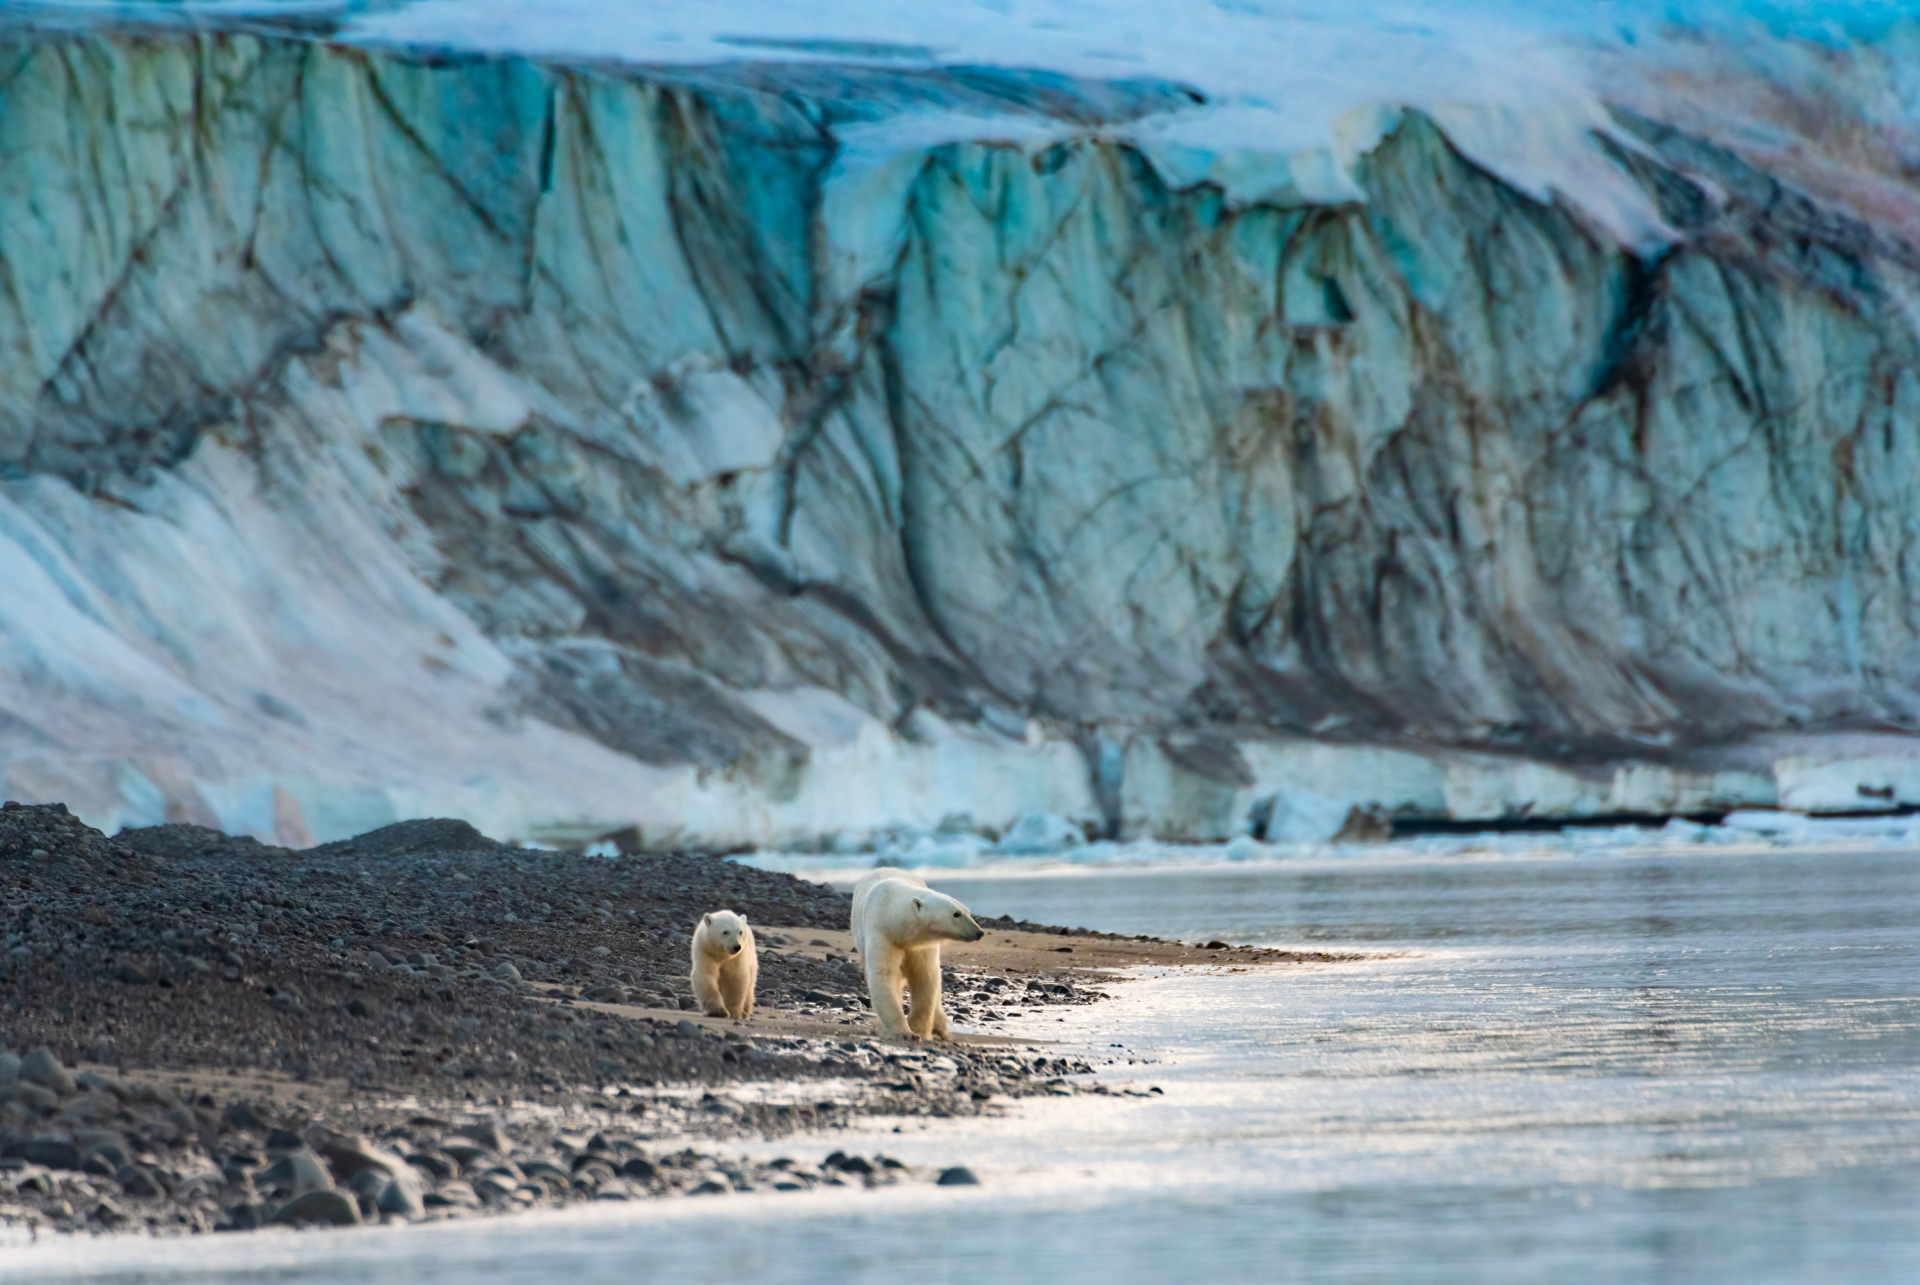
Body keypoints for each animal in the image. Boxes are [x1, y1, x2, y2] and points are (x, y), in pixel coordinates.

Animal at [850, 867, 985, 1040]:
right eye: (956, 914)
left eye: (968, 912)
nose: (979, 932)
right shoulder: (881, 933)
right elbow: (884, 975)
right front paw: (903, 1032)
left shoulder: (921, 945)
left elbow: (925, 976)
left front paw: (919, 1030)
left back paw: (939, 1028)